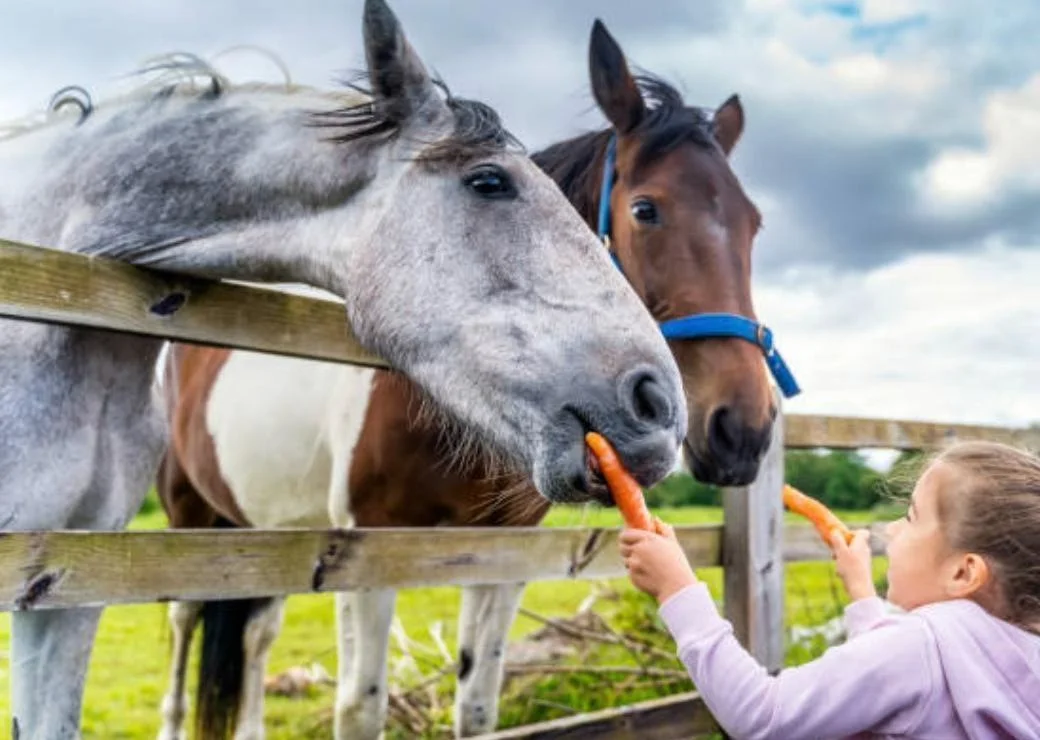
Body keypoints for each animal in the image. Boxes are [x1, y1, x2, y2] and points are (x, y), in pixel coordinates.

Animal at [155, 17, 800, 740]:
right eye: (645, 210)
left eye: (753, 224)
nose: (743, 429)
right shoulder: (362, 556)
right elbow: (360, 706)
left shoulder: (501, 561)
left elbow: (477, 703)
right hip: (191, 518)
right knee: (184, 627)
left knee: (255, 636)